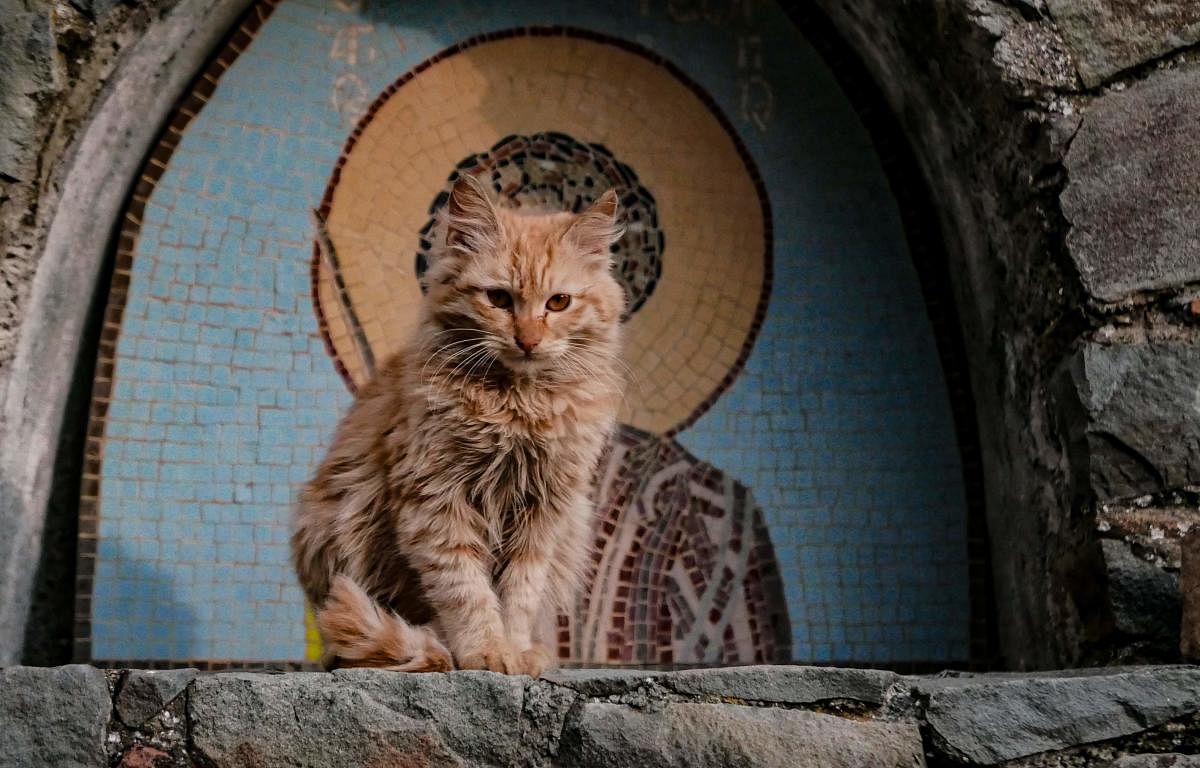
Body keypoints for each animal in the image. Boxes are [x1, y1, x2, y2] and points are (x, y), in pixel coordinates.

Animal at [291, 172, 628, 672]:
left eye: (559, 302)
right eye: (499, 299)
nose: (528, 340)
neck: (518, 406)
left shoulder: (544, 511)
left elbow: (519, 595)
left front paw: (516, 650)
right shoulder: (435, 497)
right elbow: (466, 590)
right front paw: (486, 651)